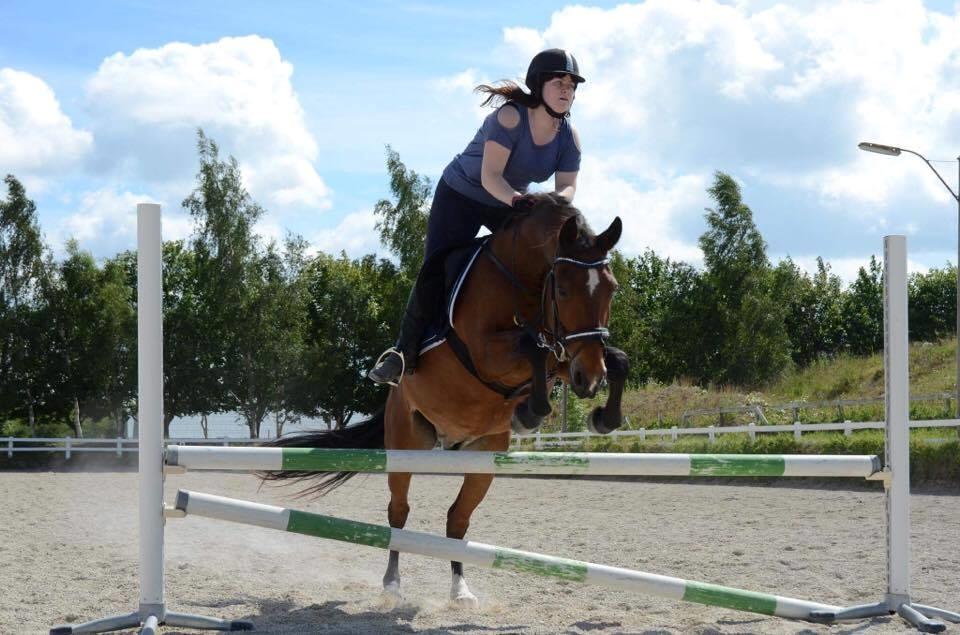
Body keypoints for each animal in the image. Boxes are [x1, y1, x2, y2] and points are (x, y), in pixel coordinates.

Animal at [263, 192, 628, 607]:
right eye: (563, 289)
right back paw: (392, 583)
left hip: (483, 456)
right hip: (405, 444)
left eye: (612, 289)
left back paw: (460, 589)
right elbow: (532, 347)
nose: (590, 379)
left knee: (457, 520)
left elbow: (615, 359)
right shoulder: (488, 351)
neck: (523, 281)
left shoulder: (565, 353)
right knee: (398, 513)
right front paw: (532, 412)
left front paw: (603, 417)